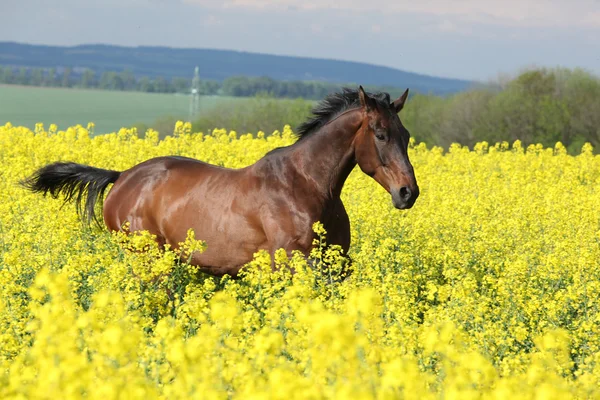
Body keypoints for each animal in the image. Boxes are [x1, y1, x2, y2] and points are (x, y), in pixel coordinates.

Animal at [21, 86, 420, 276]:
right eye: (381, 134)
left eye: (406, 135)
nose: (408, 193)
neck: (307, 186)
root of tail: (121, 178)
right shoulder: (292, 262)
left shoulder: (337, 263)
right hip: (148, 258)